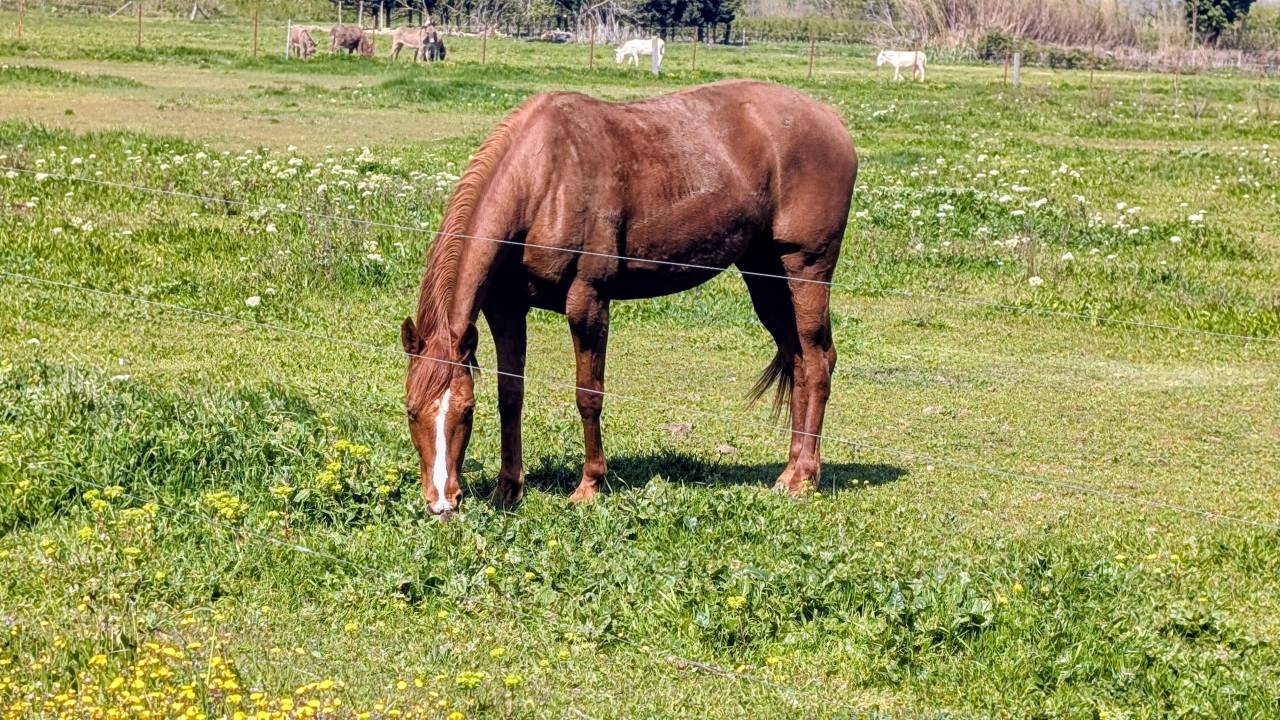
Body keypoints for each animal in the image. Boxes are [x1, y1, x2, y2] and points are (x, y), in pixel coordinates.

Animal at [400, 80, 858, 518]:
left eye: (465, 411)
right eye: (411, 410)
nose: (442, 504)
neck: (545, 178)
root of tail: (832, 123)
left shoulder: (587, 303)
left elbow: (589, 395)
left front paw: (589, 485)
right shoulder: (506, 309)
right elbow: (511, 395)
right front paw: (507, 489)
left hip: (806, 269)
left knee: (817, 362)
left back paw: (804, 477)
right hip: (766, 277)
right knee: (798, 360)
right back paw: (791, 469)